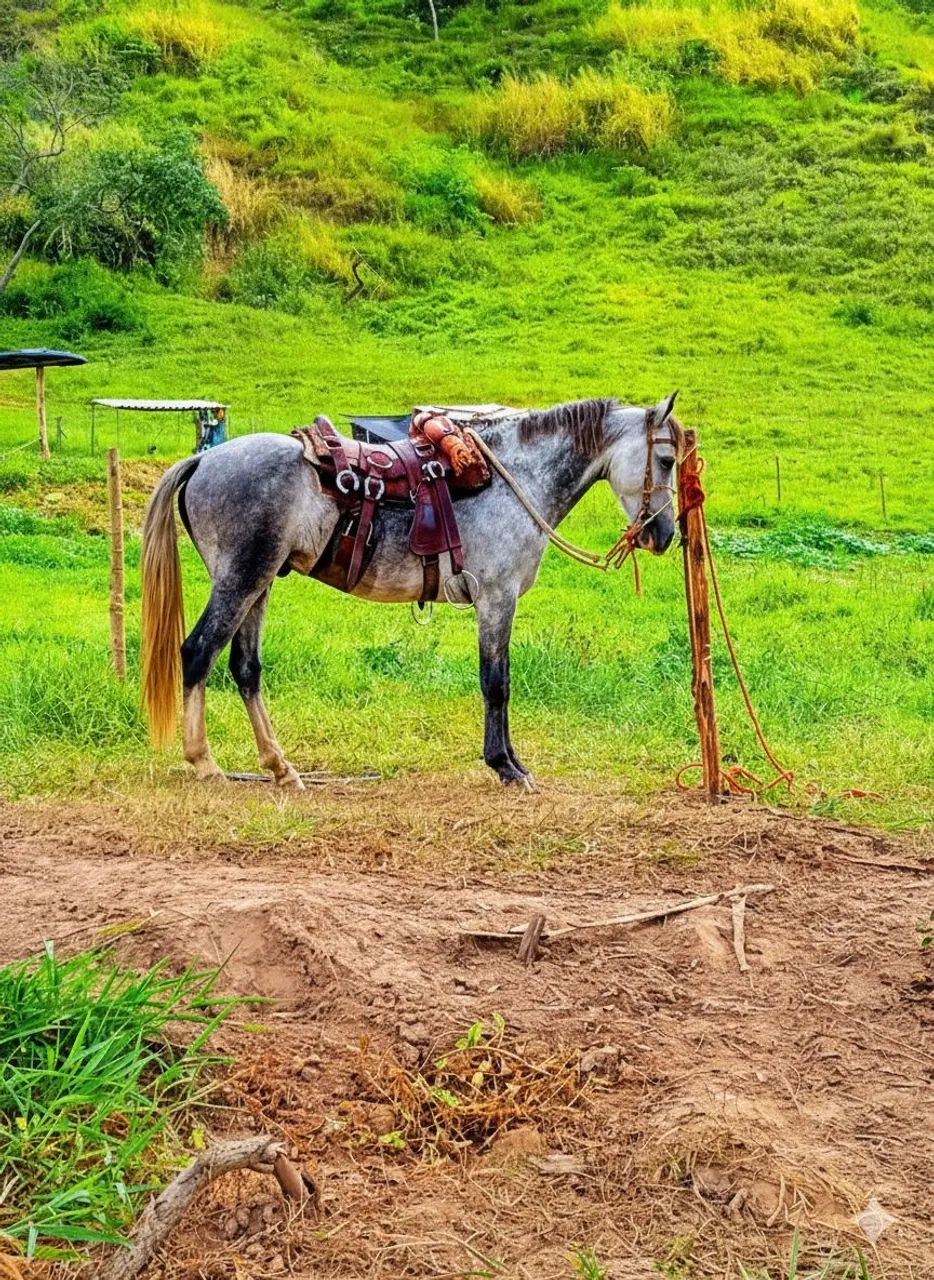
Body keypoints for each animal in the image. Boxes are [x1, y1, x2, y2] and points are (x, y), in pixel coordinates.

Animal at [140, 394, 682, 791]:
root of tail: (202, 461)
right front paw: (506, 766)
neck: (516, 480)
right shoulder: (497, 599)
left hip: (261, 581)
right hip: (241, 579)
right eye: (667, 459)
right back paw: (205, 763)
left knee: (245, 668)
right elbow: (496, 683)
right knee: (198, 652)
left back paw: (280, 767)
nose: (665, 535)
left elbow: (499, 681)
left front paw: (510, 761)